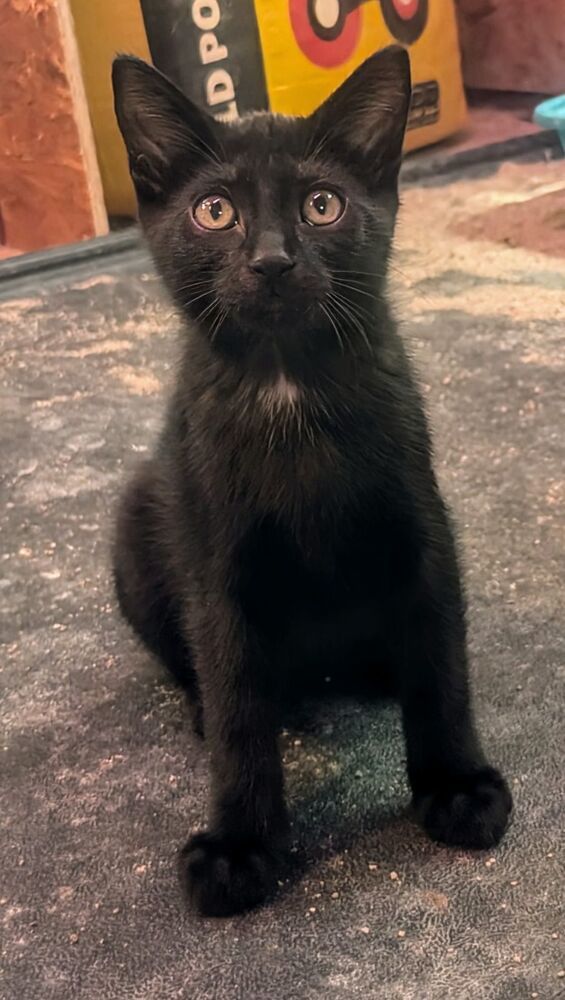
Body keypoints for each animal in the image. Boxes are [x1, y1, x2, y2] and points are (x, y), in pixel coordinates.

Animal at [110, 48, 512, 920]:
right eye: (215, 212)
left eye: (321, 205)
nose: (271, 260)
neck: (286, 383)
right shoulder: (216, 566)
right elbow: (237, 707)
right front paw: (239, 845)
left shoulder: (422, 529)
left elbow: (442, 667)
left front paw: (457, 785)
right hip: (137, 515)